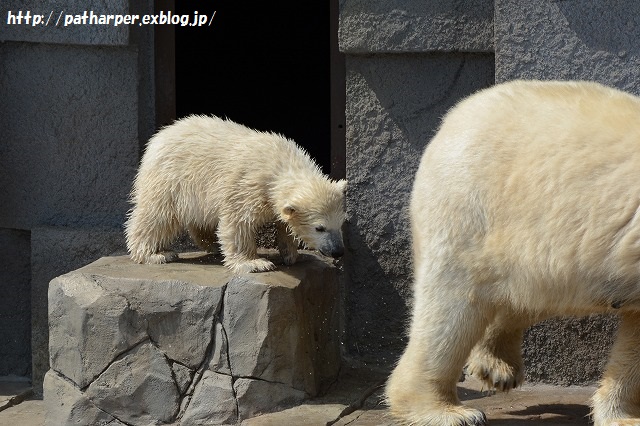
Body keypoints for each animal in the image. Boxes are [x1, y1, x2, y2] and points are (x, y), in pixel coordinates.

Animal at [124, 115, 344, 272]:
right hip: (171, 179)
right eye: (319, 228)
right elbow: (239, 222)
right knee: (157, 215)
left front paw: (290, 254)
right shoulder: (247, 185)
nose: (338, 251)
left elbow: (283, 222)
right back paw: (155, 254)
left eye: (340, 223)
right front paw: (255, 263)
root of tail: (159, 137)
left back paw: (211, 243)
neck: (281, 163)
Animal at [388, 80, 640, 426]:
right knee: (451, 309)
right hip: (473, 212)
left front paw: (623, 416)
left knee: (526, 296)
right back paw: (447, 410)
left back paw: (496, 366)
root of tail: (449, 121)